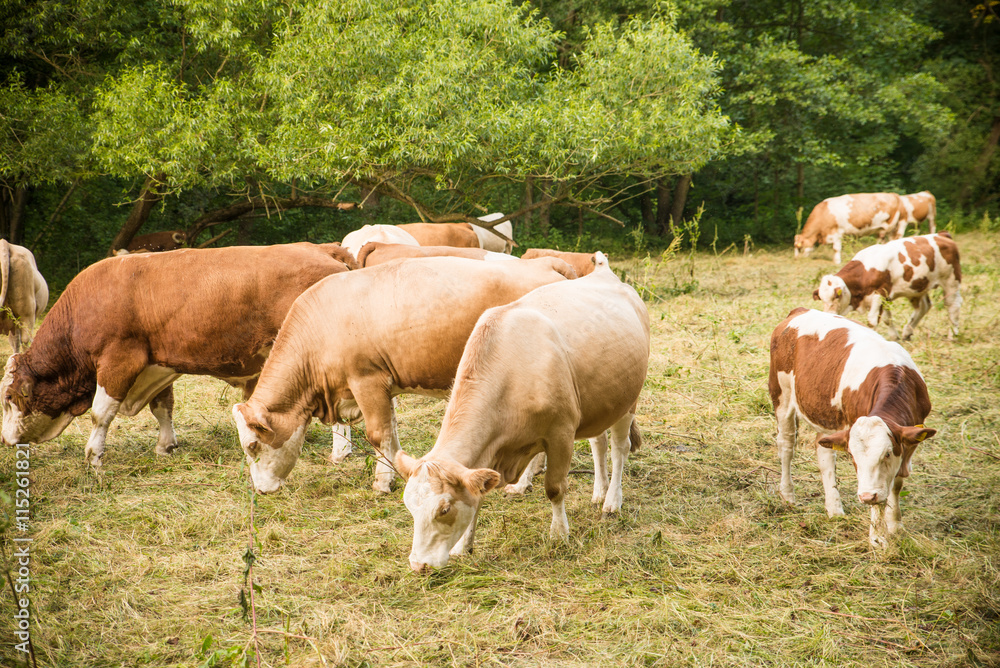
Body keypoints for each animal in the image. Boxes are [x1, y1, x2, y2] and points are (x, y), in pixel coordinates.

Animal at [0, 243, 355, 465]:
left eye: (9, 398)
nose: (5, 440)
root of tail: (321, 249)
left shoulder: (119, 361)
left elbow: (101, 413)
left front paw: (94, 457)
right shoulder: (156, 364)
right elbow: (163, 407)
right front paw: (165, 446)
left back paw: (340, 452)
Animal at [231, 256, 578, 495]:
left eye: (252, 446)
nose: (261, 490)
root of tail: (546, 262)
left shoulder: (366, 380)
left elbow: (378, 435)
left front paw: (382, 484)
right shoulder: (382, 385)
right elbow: (392, 432)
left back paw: (520, 485)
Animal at [394, 252, 650, 571]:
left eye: (444, 509)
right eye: (409, 505)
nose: (419, 564)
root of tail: (604, 271)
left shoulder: (561, 433)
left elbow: (555, 488)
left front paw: (559, 534)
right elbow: (478, 497)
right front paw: (463, 546)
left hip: (628, 401)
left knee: (619, 448)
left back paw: (612, 501)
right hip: (599, 401)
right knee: (598, 444)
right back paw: (599, 491)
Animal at [769, 307, 936, 548]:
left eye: (887, 453)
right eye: (853, 457)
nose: (866, 496)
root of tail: (800, 311)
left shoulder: (909, 442)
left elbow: (895, 483)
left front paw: (895, 525)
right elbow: (879, 495)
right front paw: (877, 537)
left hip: (827, 419)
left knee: (824, 455)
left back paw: (834, 508)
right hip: (781, 395)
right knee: (786, 446)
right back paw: (788, 495)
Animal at [813, 232, 961, 341]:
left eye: (835, 297)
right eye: (822, 298)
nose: (827, 315)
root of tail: (942, 235)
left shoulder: (880, 293)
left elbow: (872, 321)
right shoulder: (885, 298)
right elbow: (886, 319)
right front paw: (894, 336)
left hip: (951, 281)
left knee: (953, 305)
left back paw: (952, 334)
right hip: (918, 287)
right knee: (924, 306)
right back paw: (907, 332)